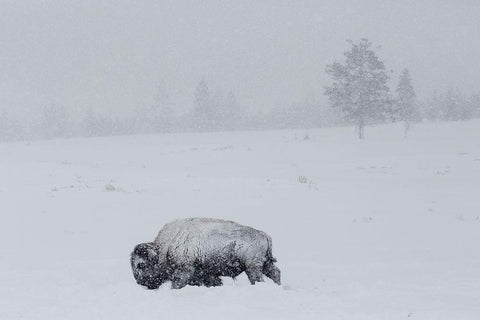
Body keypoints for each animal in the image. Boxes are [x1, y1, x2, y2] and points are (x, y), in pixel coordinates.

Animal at [131, 219, 282, 288]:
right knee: (275, 273)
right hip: (264, 264)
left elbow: (177, 284)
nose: (140, 283)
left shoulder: (185, 270)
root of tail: (263, 234)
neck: (164, 248)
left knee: (258, 278)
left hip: (252, 267)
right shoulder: (206, 274)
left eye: (141, 265)